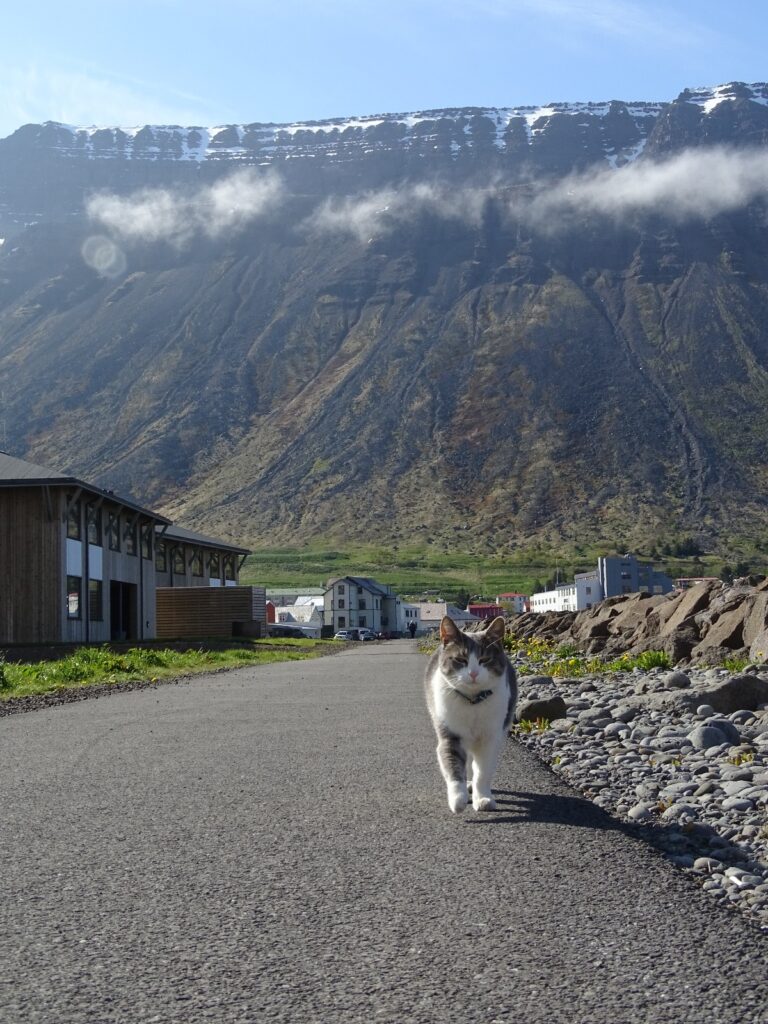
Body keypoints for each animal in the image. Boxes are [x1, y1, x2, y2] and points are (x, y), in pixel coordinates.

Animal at [423, 610, 520, 811]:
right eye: (461, 659)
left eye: (485, 660)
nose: (473, 673)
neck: (473, 702)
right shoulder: (450, 735)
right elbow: (454, 767)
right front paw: (458, 798)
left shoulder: (490, 738)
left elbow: (483, 771)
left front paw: (482, 797)